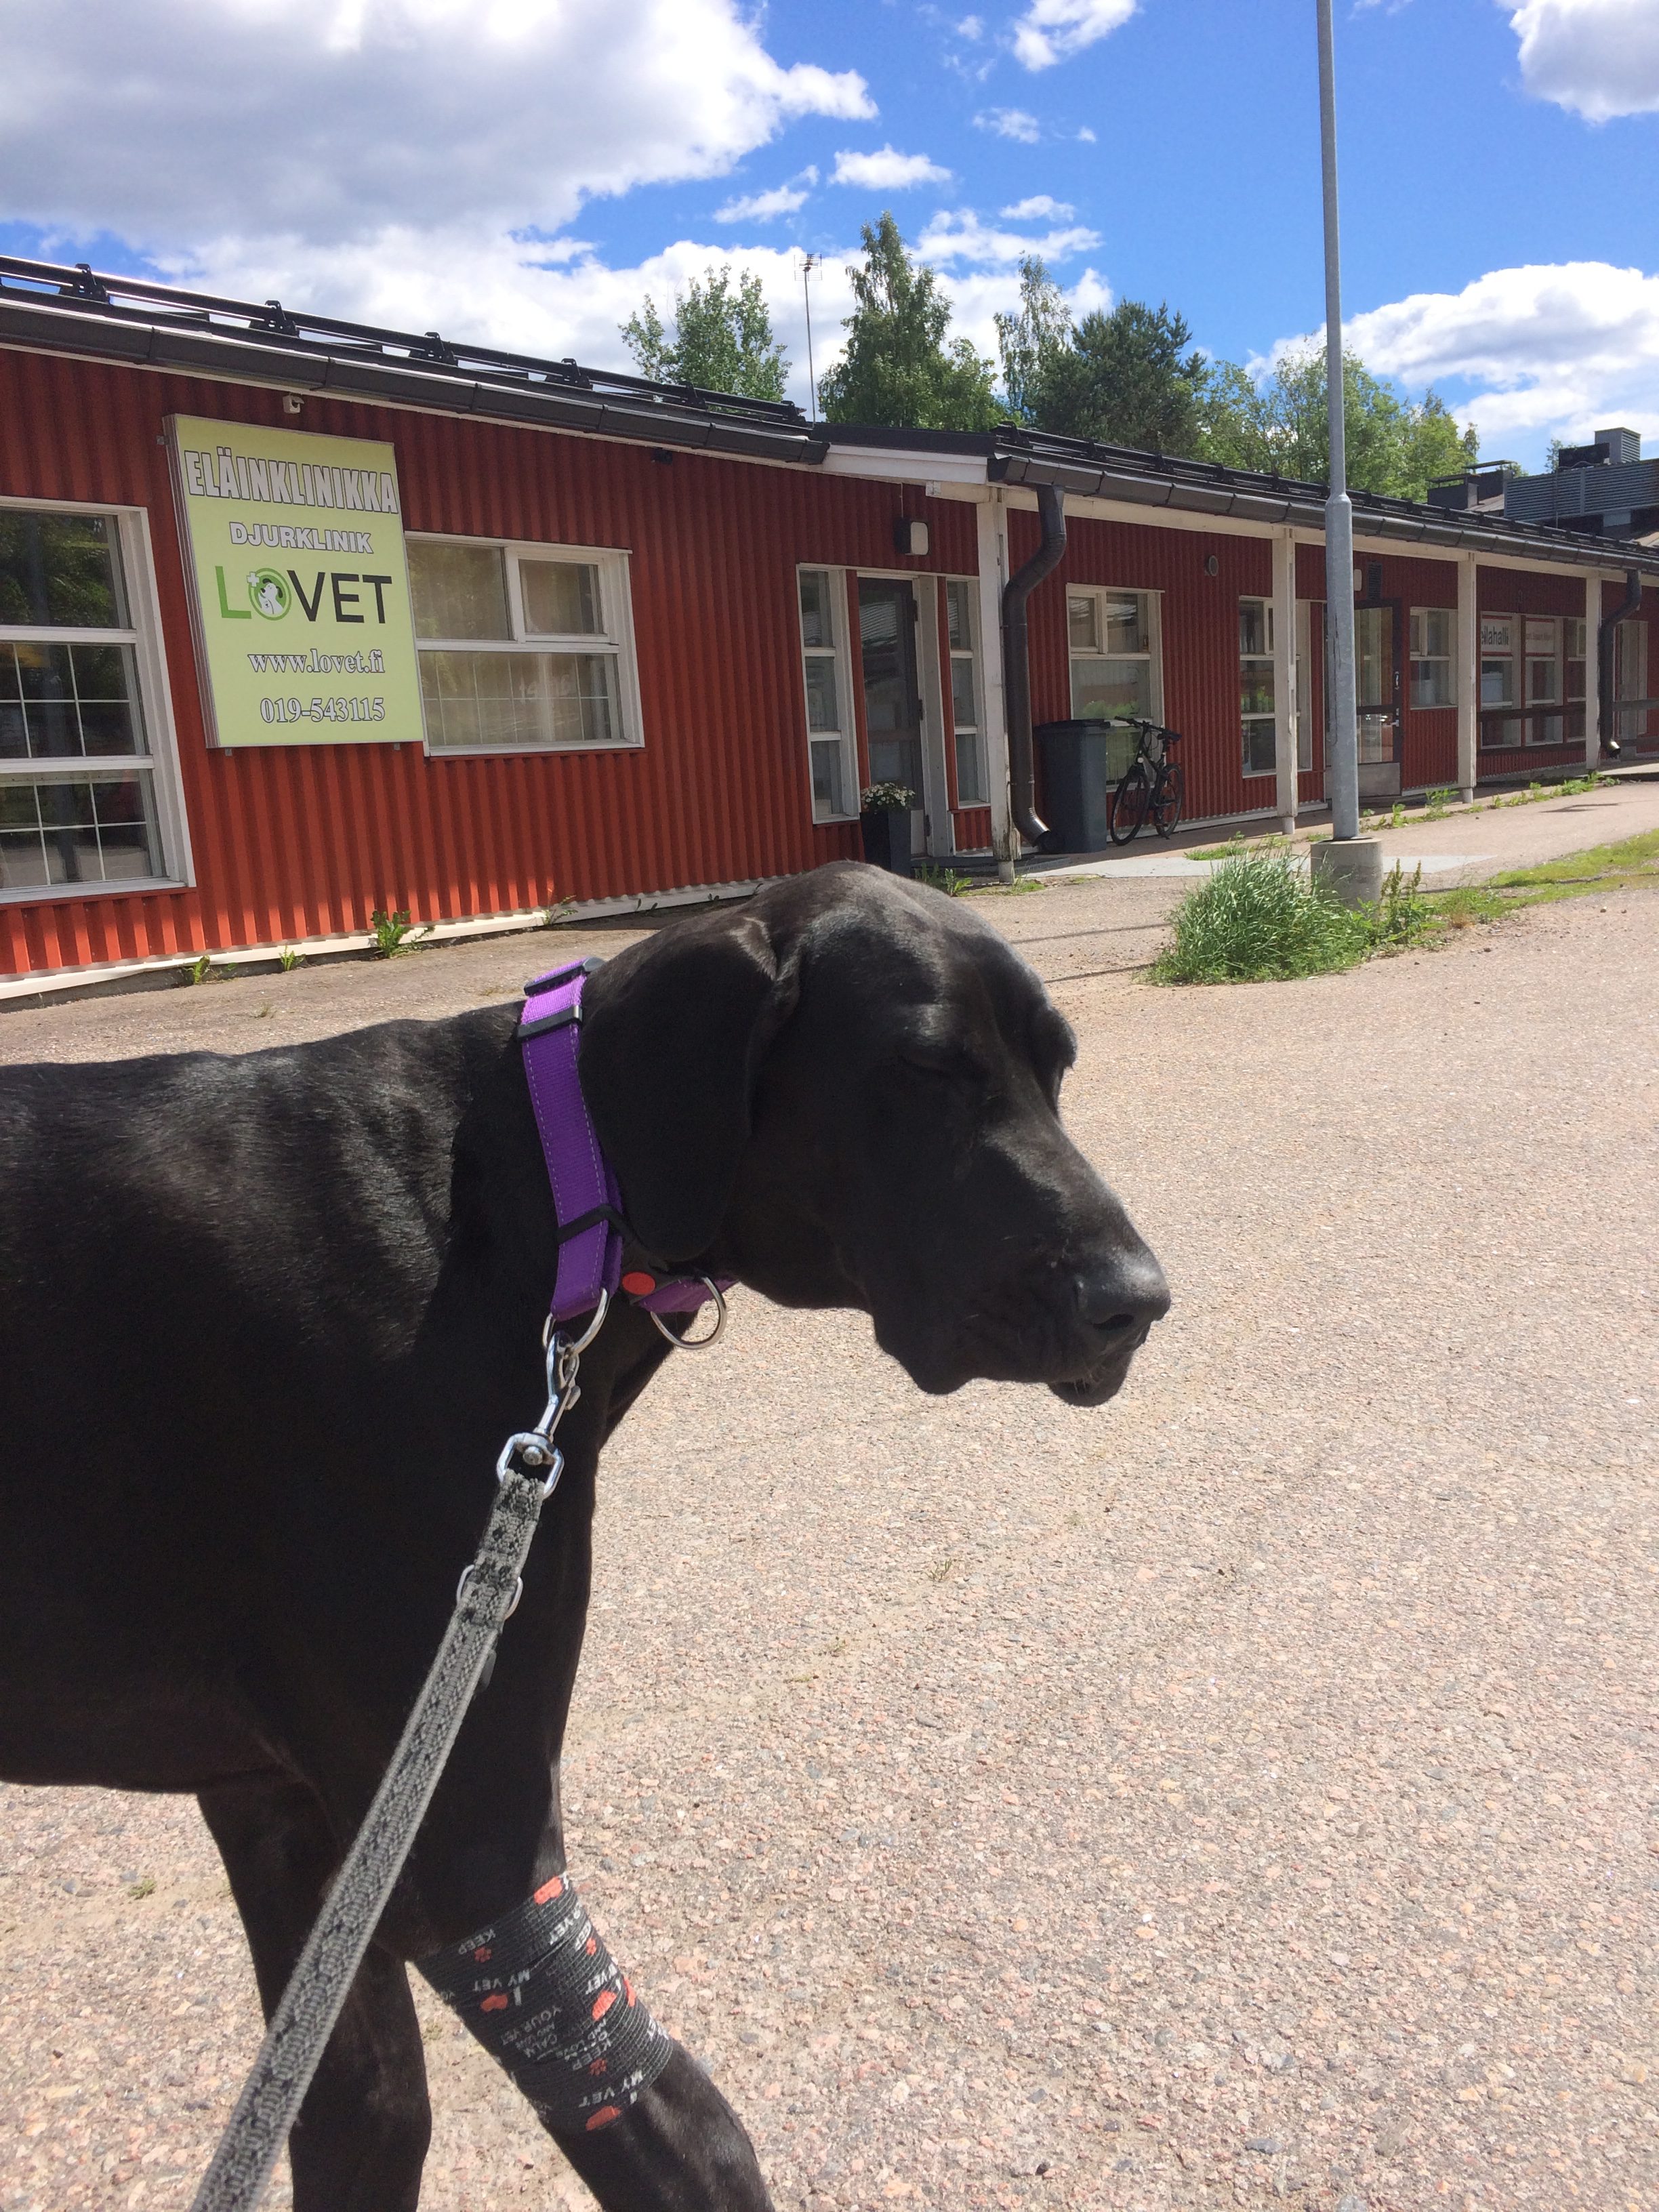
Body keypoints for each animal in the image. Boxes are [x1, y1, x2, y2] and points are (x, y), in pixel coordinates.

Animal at [0, 861, 1168, 2210]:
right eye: (929, 1070)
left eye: (1058, 1069)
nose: (1137, 1303)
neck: (531, 1203)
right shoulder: (469, 1837)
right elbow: (685, 2126)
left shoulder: (289, 1816)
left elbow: (364, 2109)